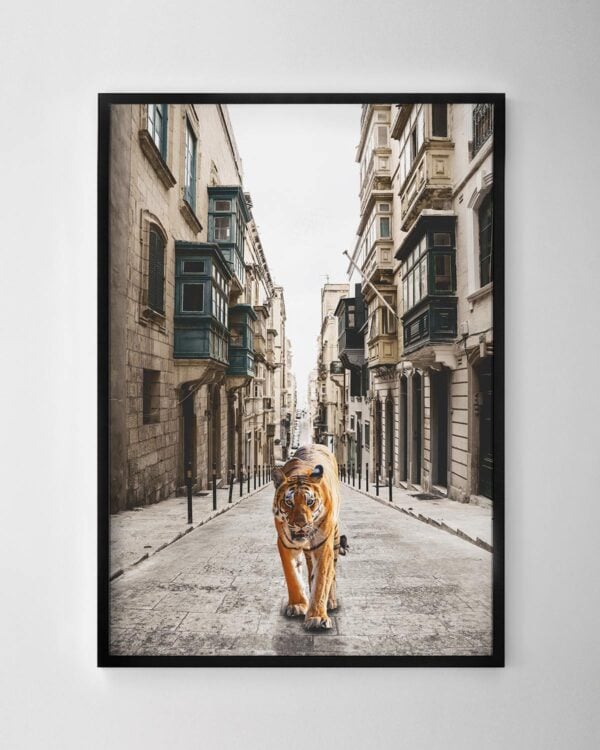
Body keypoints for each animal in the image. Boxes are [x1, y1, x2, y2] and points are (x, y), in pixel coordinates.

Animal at [272, 444, 342, 631]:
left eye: (310, 502)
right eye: (289, 502)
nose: (301, 524)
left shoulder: (323, 545)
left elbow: (321, 580)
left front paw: (317, 617)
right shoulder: (285, 544)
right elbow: (293, 576)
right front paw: (297, 605)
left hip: (335, 537)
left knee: (332, 571)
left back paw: (331, 601)